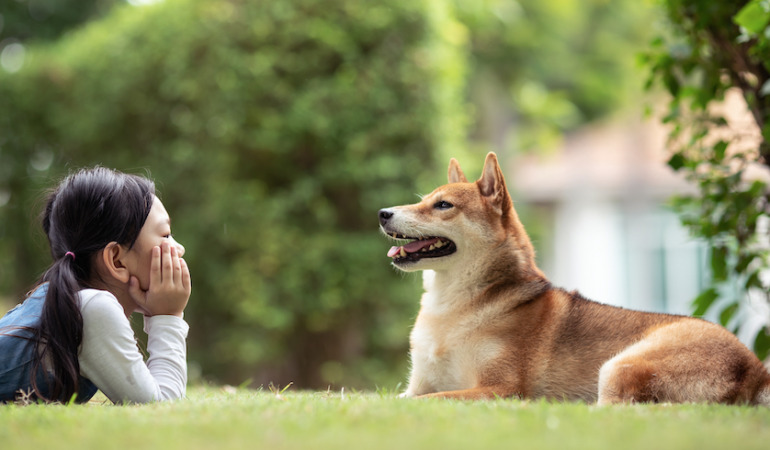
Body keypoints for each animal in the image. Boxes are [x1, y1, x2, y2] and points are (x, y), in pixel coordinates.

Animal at [376, 151, 768, 404]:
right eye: (424, 200)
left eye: (443, 205)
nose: (382, 212)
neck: (453, 308)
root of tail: (754, 368)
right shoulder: (417, 384)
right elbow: (391, 397)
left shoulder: (500, 389)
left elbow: (418, 401)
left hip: (619, 366)